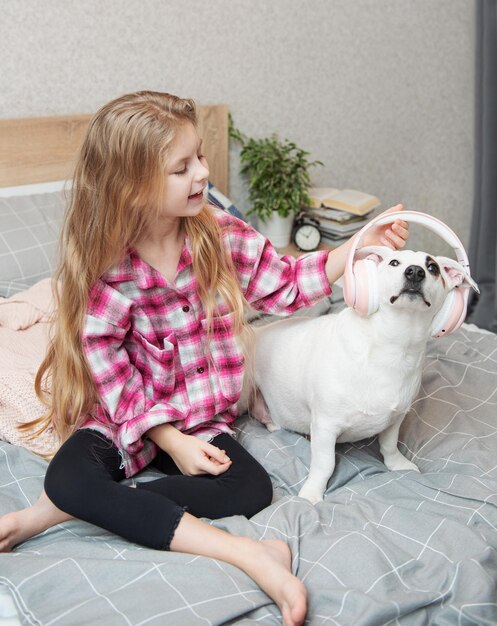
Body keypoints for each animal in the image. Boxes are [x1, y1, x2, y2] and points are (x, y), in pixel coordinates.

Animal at [246, 245, 478, 502]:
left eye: (432, 268)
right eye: (394, 262)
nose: (415, 272)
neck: (394, 343)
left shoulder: (396, 418)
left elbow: (389, 445)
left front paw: (397, 464)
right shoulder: (325, 426)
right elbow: (324, 464)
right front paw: (312, 493)